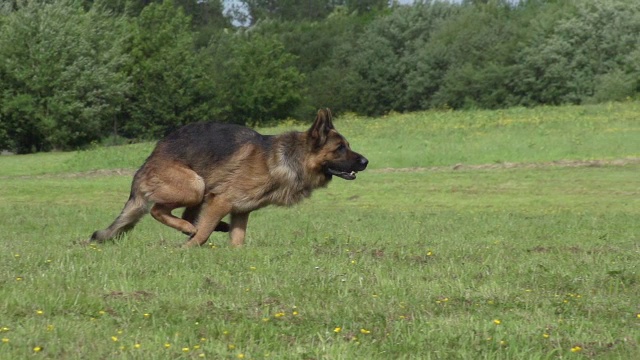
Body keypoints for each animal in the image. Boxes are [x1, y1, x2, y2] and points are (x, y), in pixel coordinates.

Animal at [91, 108, 370, 246]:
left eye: (347, 146)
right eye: (340, 148)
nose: (366, 162)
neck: (290, 158)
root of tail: (147, 162)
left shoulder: (241, 210)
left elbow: (238, 240)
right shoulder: (221, 201)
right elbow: (203, 235)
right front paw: (187, 250)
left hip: (200, 193)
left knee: (186, 215)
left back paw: (207, 227)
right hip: (195, 185)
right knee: (158, 211)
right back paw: (189, 229)